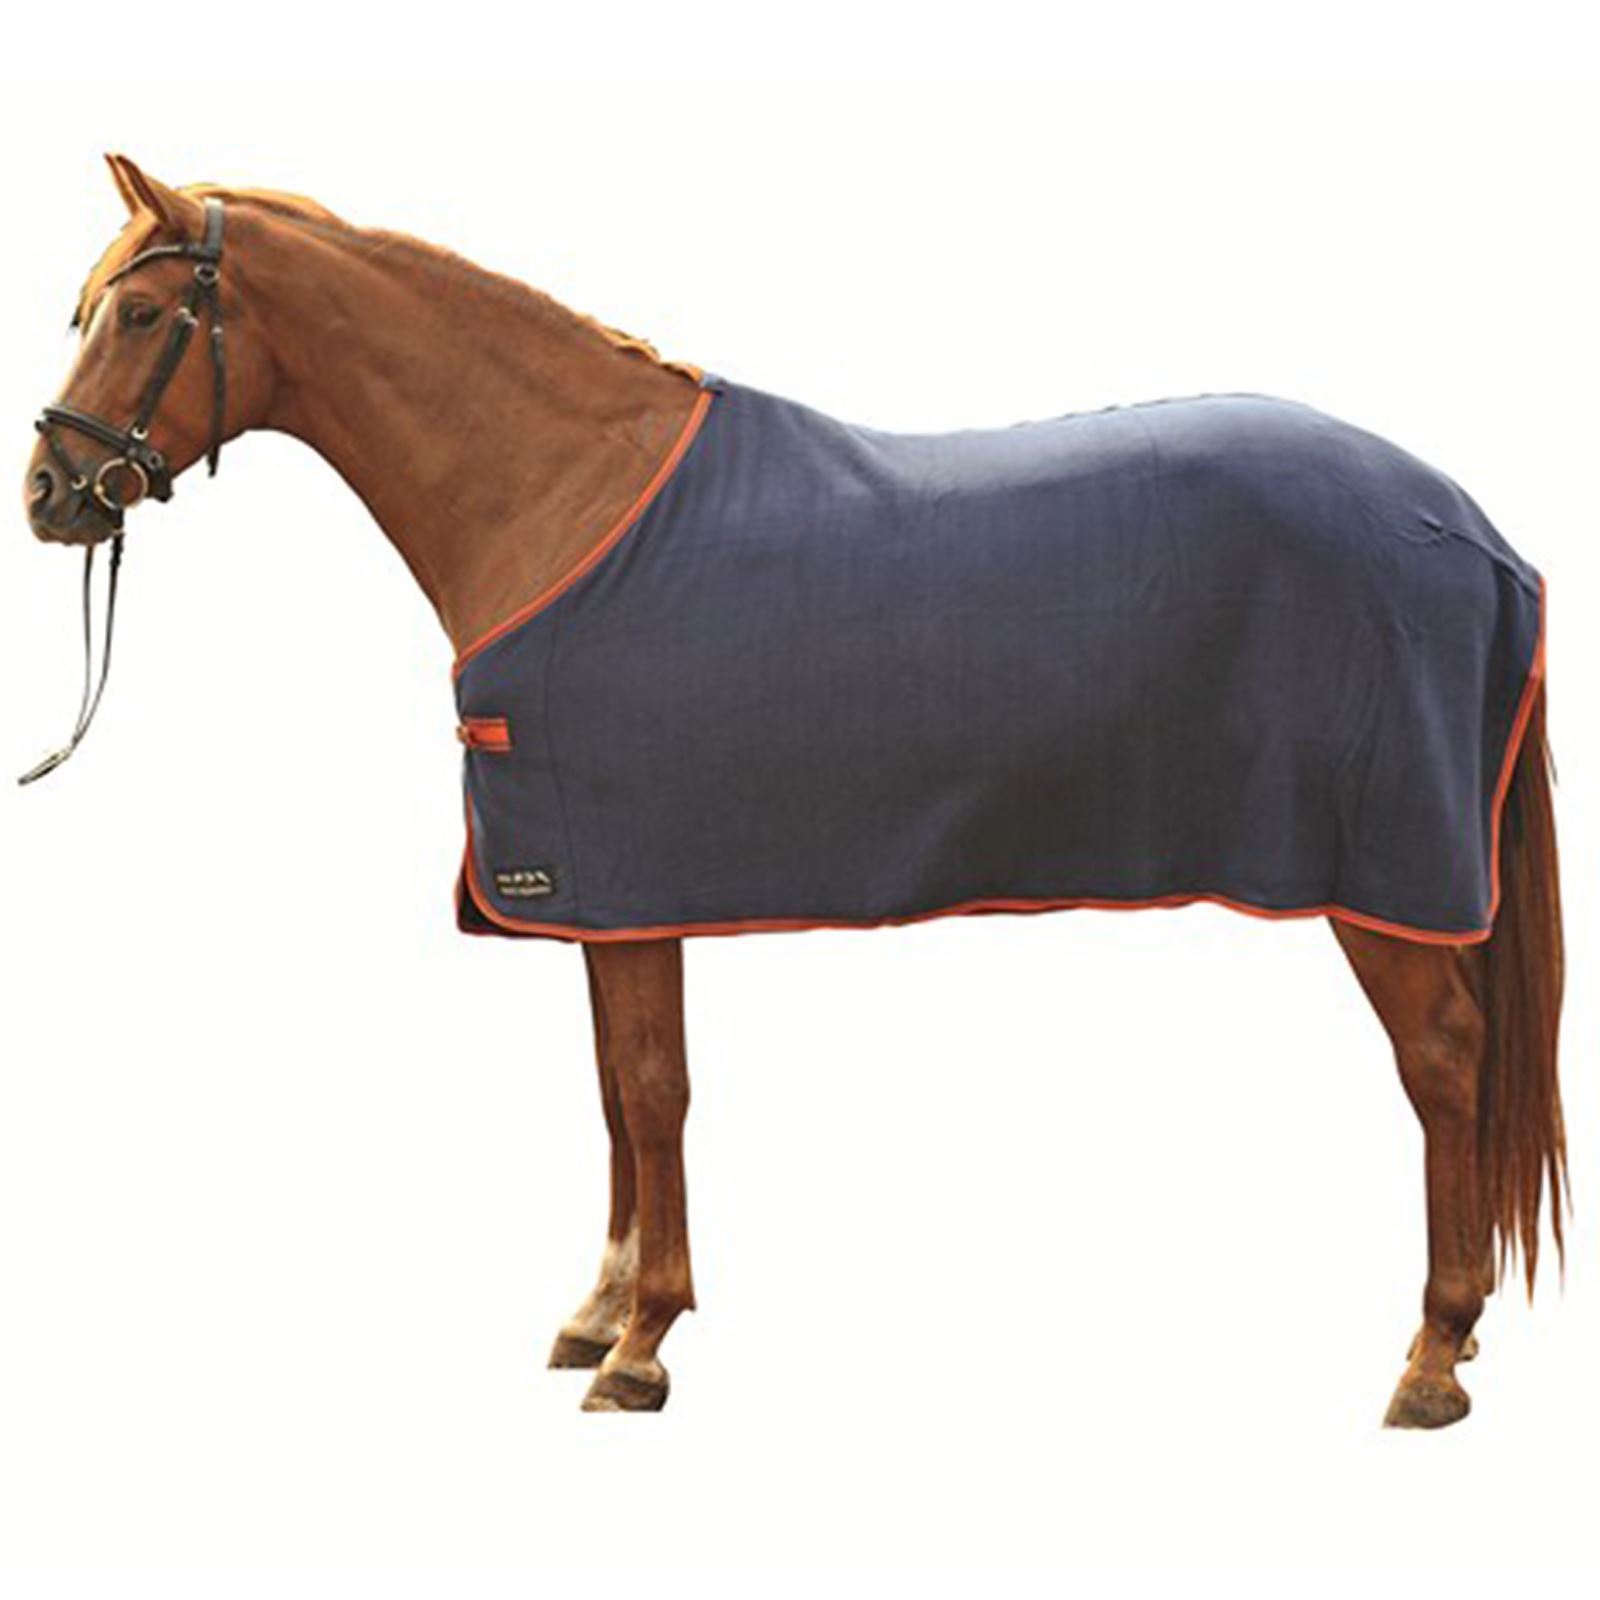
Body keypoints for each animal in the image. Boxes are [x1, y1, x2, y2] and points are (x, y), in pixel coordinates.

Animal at [21, 156, 1565, 1423]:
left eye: (144, 316)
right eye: (90, 307)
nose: (49, 492)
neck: (560, 495)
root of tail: (1467, 525)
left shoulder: (626, 887)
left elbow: (653, 1093)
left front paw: (643, 1343)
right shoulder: (598, 896)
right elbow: (614, 1094)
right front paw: (599, 1313)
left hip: (1379, 875)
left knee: (1445, 1062)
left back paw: (1432, 1356)